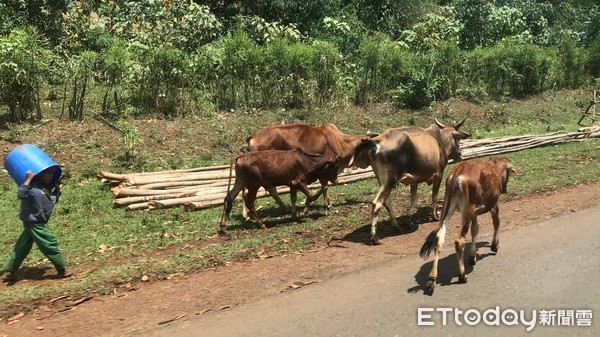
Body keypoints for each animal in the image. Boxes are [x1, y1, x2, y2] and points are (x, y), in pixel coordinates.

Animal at [420, 156, 524, 292]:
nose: (504, 189)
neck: (494, 167)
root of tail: (457, 174)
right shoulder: (493, 204)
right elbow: (496, 223)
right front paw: (494, 245)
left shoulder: (475, 213)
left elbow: (475, 230)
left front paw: (472, 255)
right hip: (467, 211)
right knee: (459, 241)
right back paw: (462, 275)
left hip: (447, 209)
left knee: (439, 239)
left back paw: (432, 279)